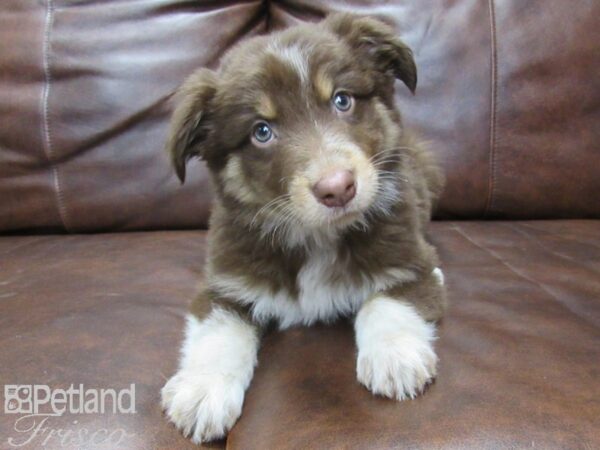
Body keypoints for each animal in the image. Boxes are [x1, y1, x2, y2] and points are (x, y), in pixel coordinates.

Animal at [159, 13, 446, 442]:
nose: (338, 188)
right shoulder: (225, 282)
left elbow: (388, 301)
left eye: (342, 100)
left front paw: (394, 357)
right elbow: (218, 331)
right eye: (262, 131)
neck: (315, 237)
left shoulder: (410, 259)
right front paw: (201, 391)